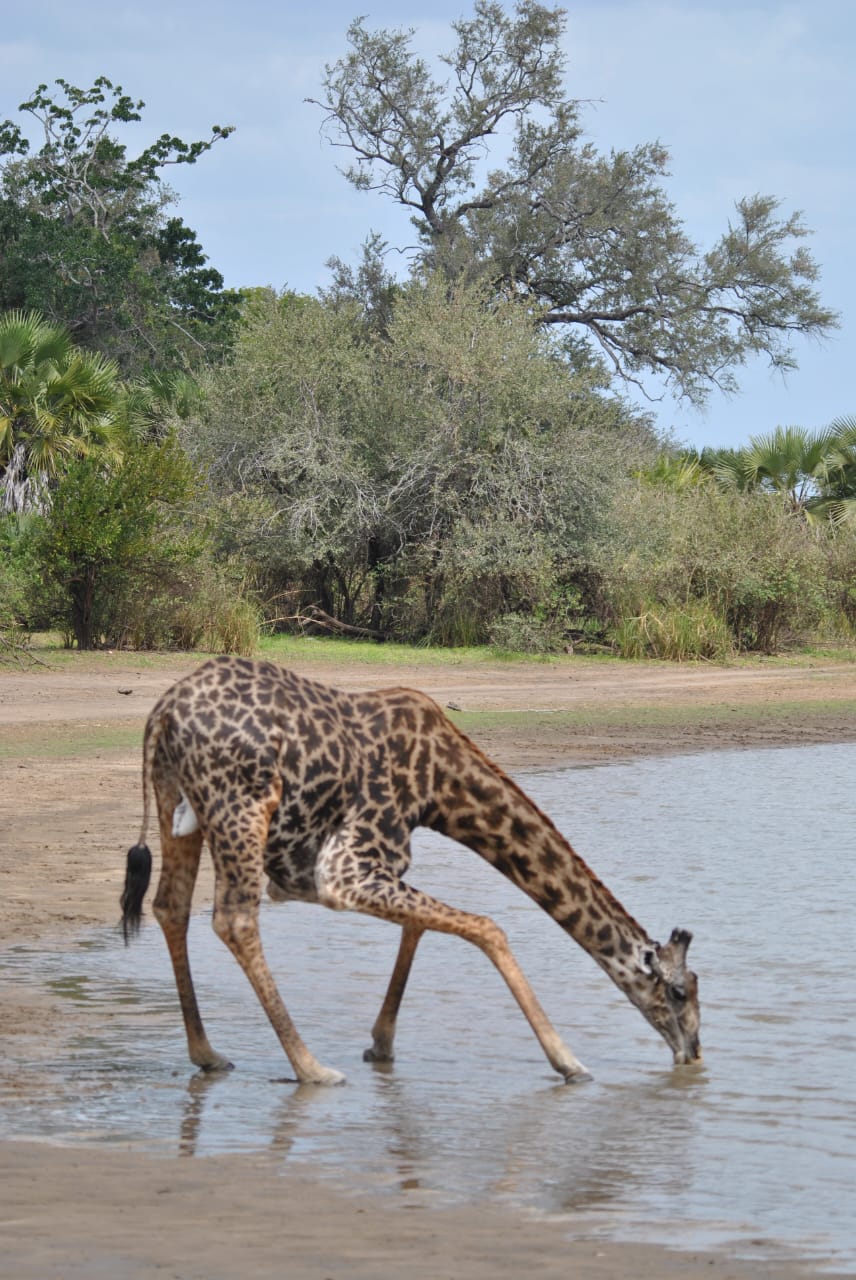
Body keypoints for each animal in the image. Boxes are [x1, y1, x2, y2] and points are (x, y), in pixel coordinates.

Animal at [121, 655, 701, 1085]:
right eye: (679, 992)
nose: (692, 1053)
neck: (443, 788)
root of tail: (162, 713)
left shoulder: (307, 878)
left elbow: (419, 925)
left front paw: (381, 1043)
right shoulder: (345, 870)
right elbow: (488, 927)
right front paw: (568, 1061)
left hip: (180, 804)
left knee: (171, 906)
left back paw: (208, 1053)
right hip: (242, 805)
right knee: (234, 919)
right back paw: (312, 1068)